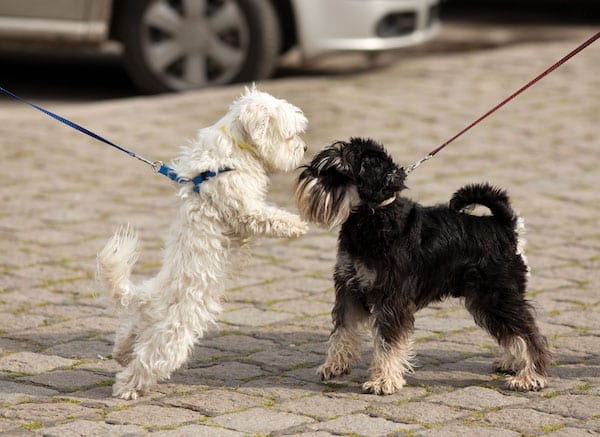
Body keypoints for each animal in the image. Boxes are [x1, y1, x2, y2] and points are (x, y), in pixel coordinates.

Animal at [98, 86, 310, 398]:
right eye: (289, 135)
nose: (304, 149)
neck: (234, 151)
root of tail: (151, 295)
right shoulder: (244, 209)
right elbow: (269, 217)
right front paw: (297, 225)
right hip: (173, 336)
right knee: (149, 361)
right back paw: (126, 387)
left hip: (145, 323)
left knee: (129, 334)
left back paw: (122, 354)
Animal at [292, 138, 552, 394]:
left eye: (338, 171)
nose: (305, 176)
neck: (373, 217)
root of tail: (505, 227)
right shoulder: (349, 288)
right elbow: (342, 330)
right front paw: (335, 365)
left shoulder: (391, 298)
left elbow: (387, 341)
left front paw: (383, 381)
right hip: (486, 302)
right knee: (512, 332)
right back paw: (513, 363)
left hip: (497, 296)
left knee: (530, 334)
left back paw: (530, 376)